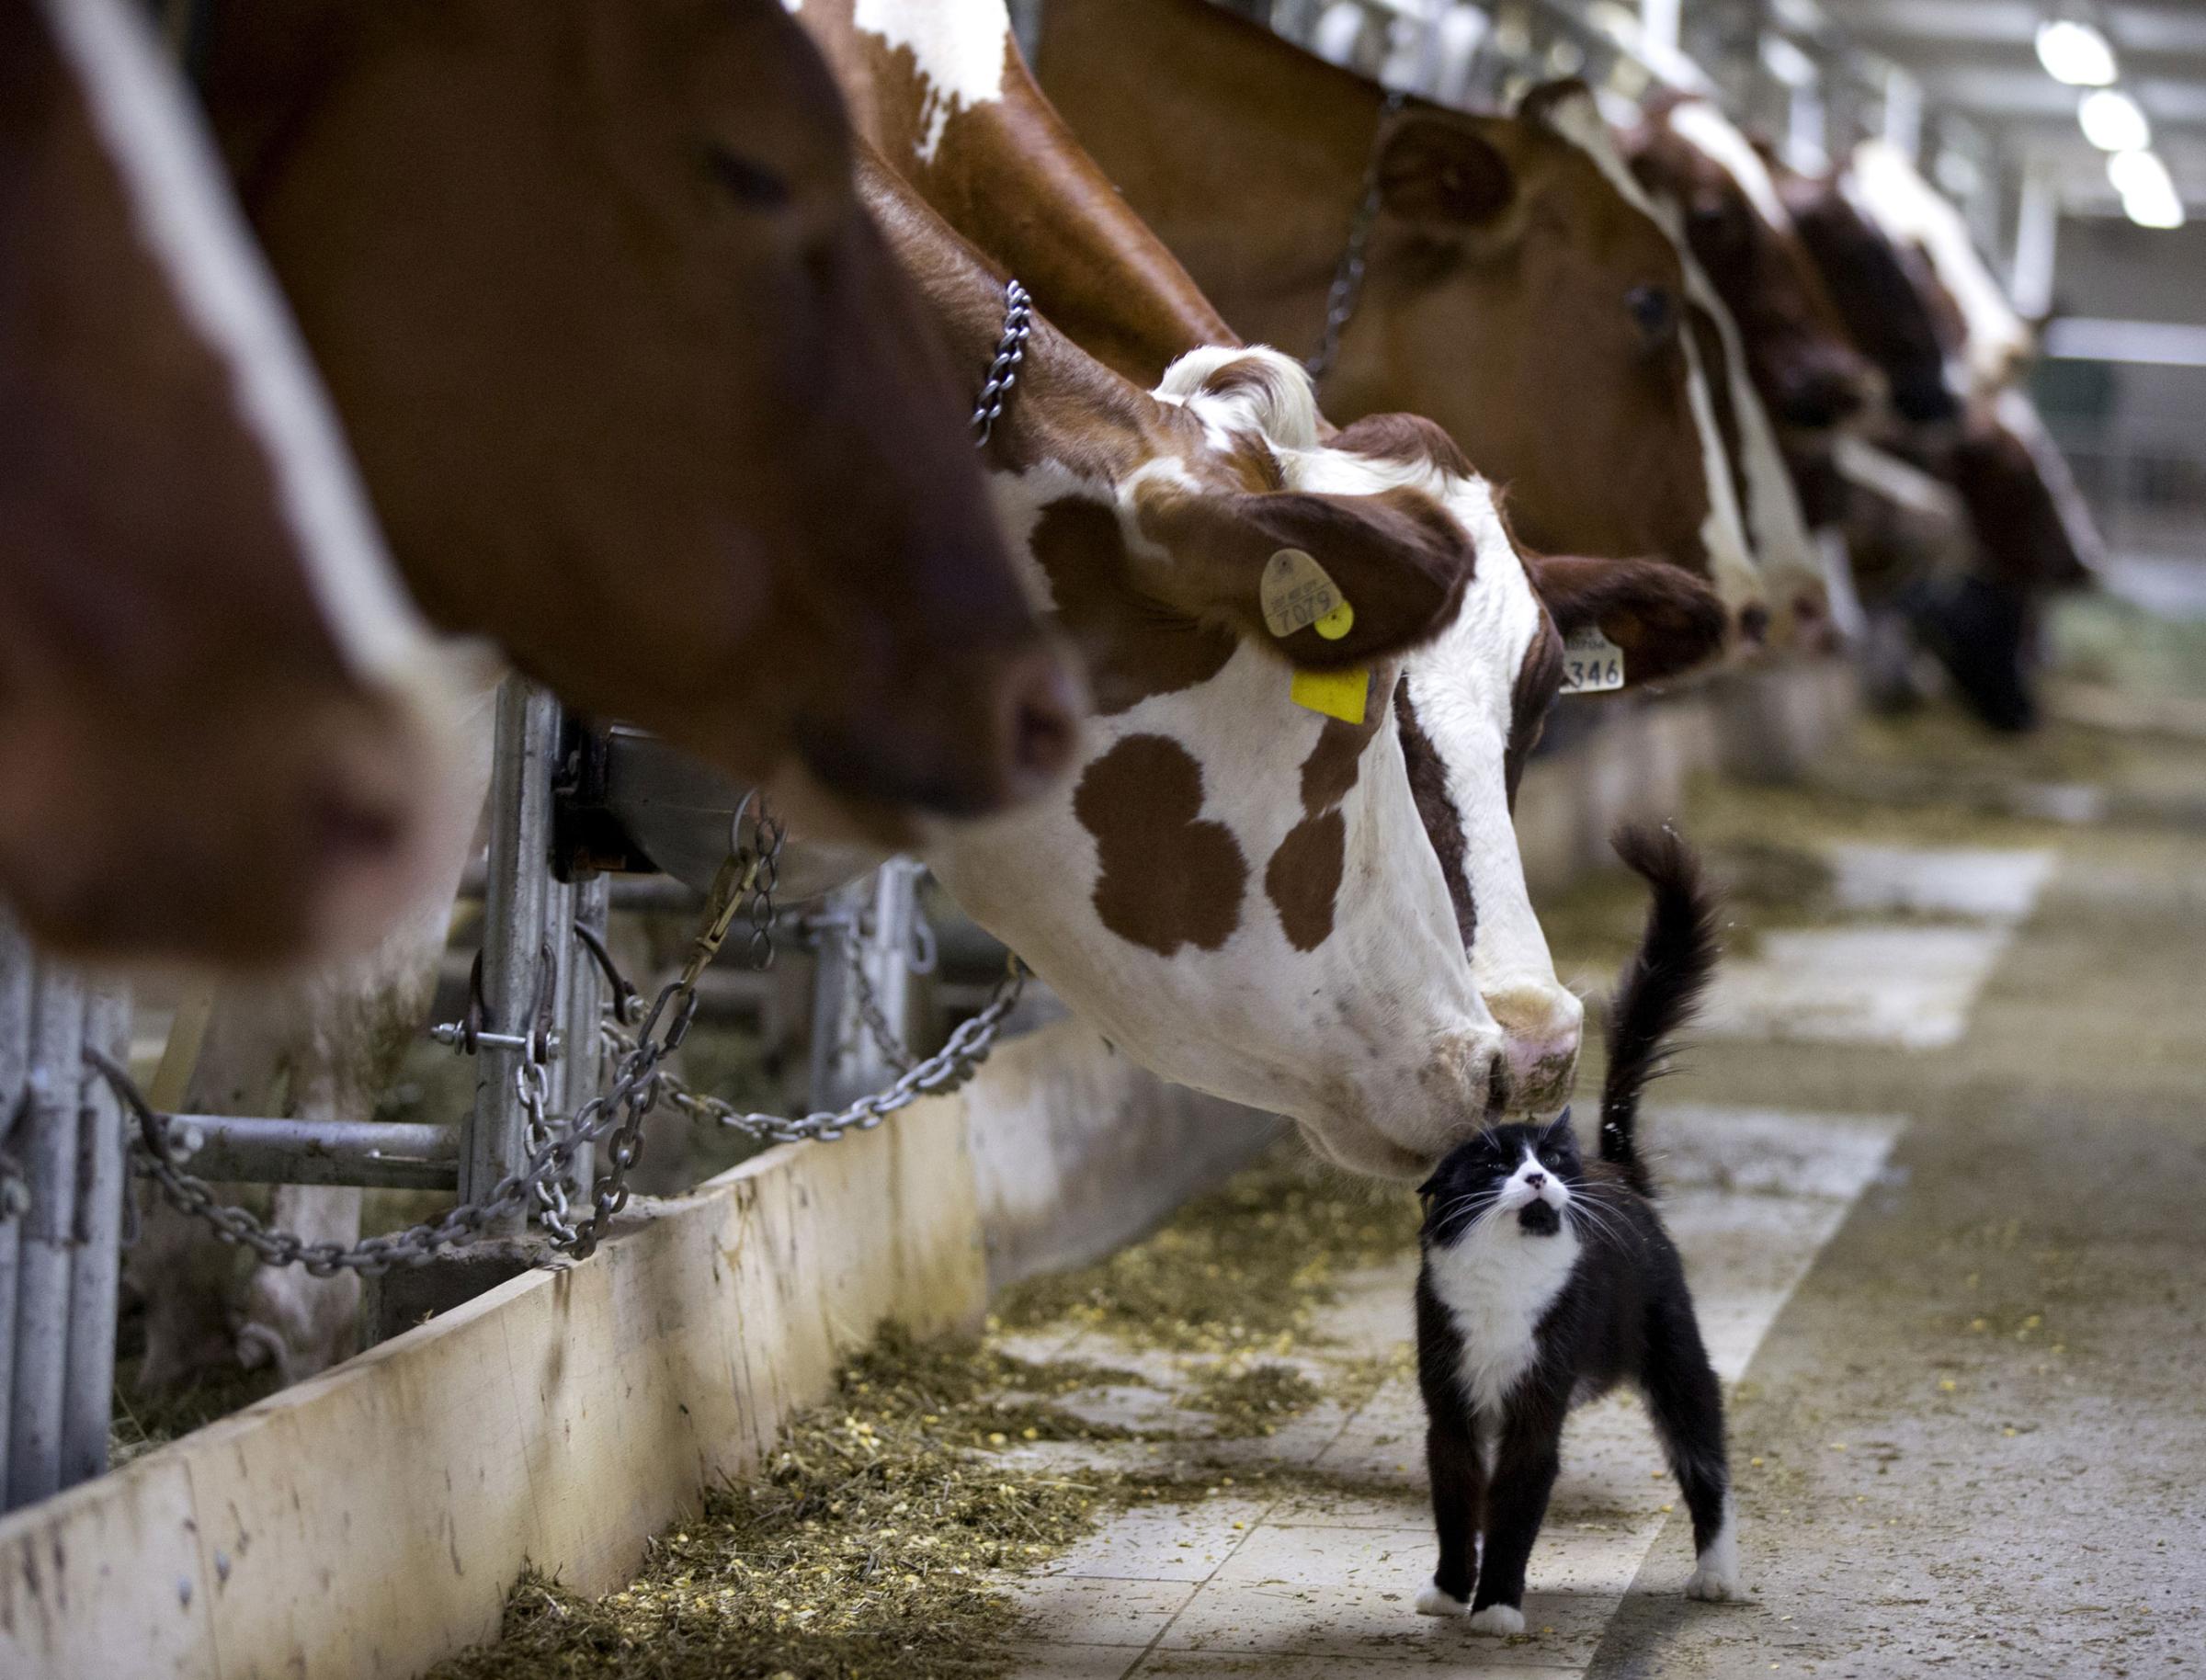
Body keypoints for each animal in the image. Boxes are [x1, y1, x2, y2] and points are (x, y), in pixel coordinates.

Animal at [1412, 824, 1738, 1622]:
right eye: (1493, 1164)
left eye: (1551, 1159)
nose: (1540, 1177)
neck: (1506, 1282)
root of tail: (1619, 1170)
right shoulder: (1449, 1406)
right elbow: (1456, 1499)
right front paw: (1448, 1592)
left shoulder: (1537, 1407)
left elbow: (1517, 1504)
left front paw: (1497, 1608)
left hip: (1677, 1356)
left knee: (1705, 1459)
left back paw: (1717, 1576)